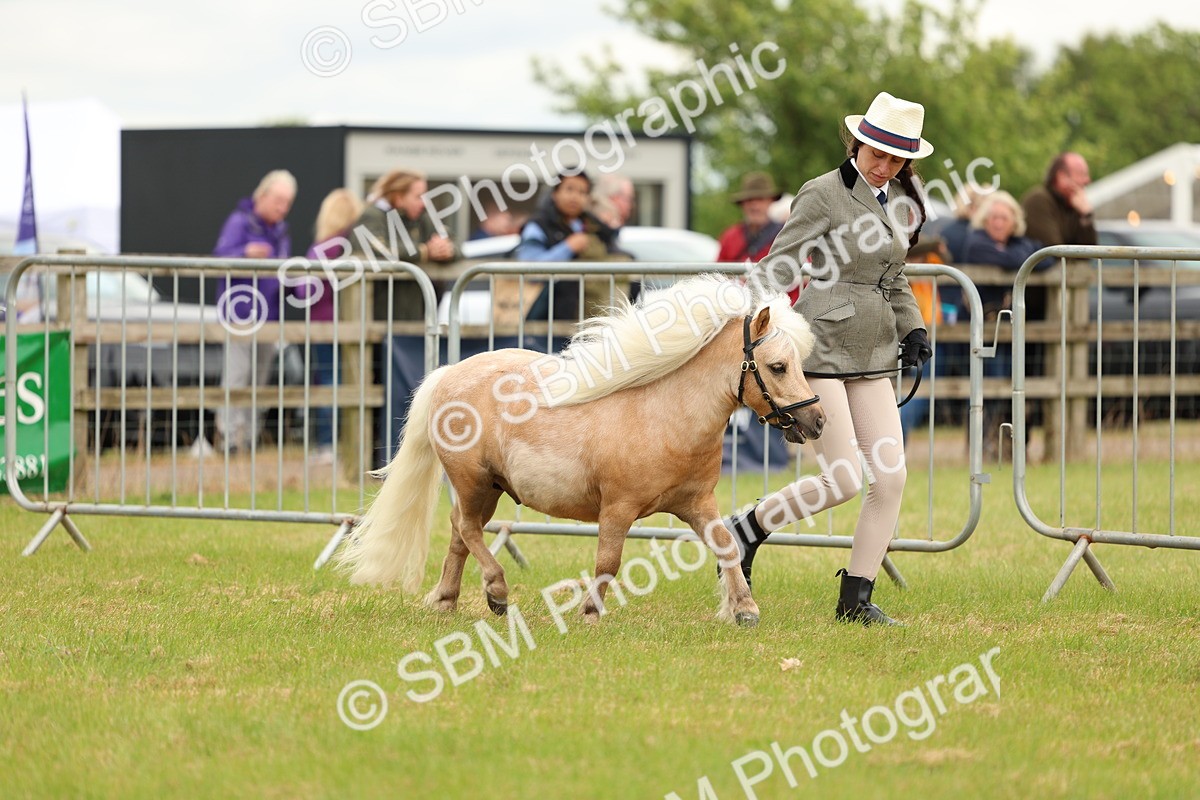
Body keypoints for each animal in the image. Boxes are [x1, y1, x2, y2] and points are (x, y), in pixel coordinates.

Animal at [337, 273, 826, 627]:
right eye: (777, 367)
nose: (816, 421)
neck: (665, 415)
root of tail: (449, 374)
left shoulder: (696, 503)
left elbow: (726, 546)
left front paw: (744, 610)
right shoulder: (618, 508)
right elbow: (608, 561)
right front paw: (590, 613)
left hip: (489, 488)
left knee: (461, 534)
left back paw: (446, 600)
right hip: (472, 481)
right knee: (465, 527)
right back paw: (497, 592)